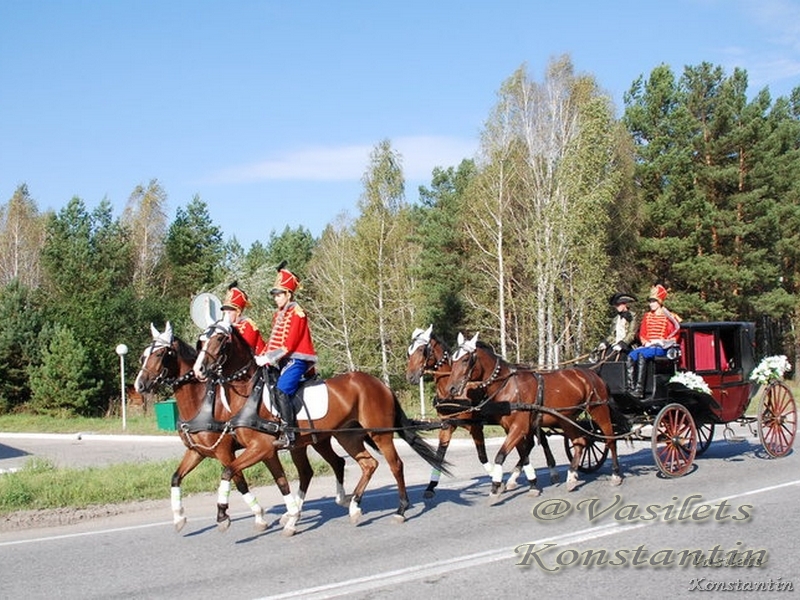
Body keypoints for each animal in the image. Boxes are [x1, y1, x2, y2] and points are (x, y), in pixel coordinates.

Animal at [134, 324, 346, 536]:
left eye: (160, 353)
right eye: (143, 356)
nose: (140, 384)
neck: (201, 402)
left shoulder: (226, 451)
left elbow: (239, 481)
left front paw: (252, 516)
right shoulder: (197, 451)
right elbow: (176, 477)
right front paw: (179, 517)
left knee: (331, 464)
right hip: (308, 443)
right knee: (316, 469)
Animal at [191, 318, 446, 536]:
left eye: (219, 339)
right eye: (201, 339)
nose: (199, 370)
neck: (250, 394)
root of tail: (380, 384)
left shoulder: (261, 448)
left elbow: (228, 471)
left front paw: (222, 515)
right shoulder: (267, 450)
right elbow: (276, 480)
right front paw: (289, 516)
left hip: (379, 435)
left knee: (395, 465)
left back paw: (401, 509)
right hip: (348, 437)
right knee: (367, 464)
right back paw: (353, 506)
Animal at [404, 326, 560, 500]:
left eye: (422, 349)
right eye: (409, 351)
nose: (410, 376)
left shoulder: (475, 426)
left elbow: (482, 455)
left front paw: (496, 480)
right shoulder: (447, 425)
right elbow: (439, 456)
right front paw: (431, 486)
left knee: (541, 439)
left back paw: (551, 471)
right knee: (533, 442)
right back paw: (516, 477)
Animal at [444, 332, 624, 496]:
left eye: (465, 360)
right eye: (452, 360)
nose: (451, 388)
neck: (508, 385)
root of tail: (594, 375)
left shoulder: (519, 427)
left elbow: (501, 455)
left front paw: (496, 486)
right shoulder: (511, 428)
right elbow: (523, 453)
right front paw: (527, 482)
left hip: (599, 410)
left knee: (610, 440)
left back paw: (615, 474)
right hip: (566, 418)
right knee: (581, 441)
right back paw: (572, 476)